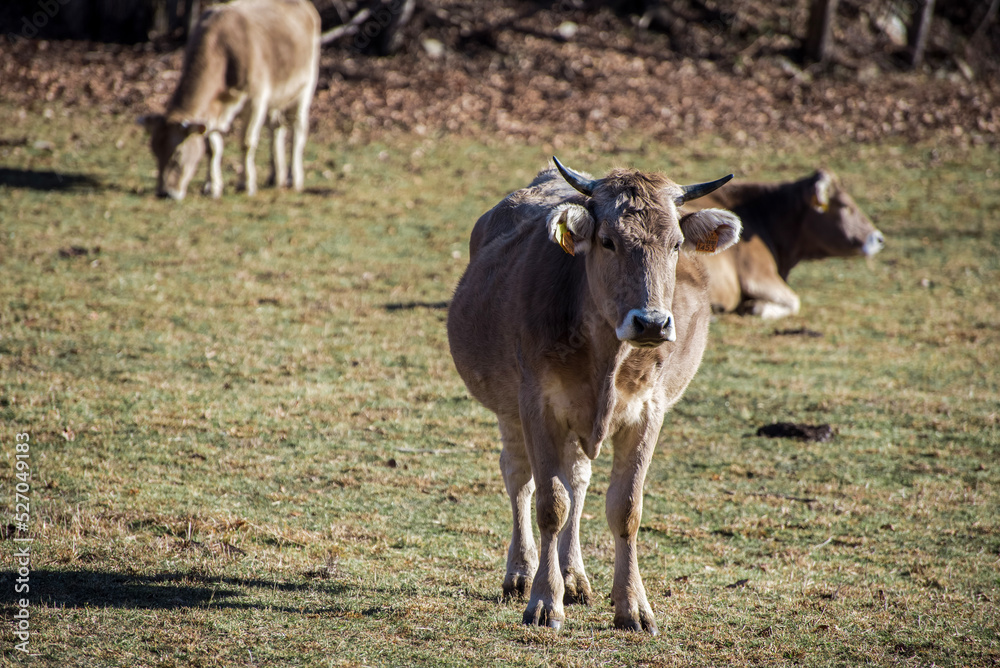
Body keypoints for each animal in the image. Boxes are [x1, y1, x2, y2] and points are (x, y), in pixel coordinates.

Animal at [138, 0, 320, 200]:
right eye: (154, 152)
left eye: (177, 155)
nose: (164, 193)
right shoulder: (212, 112)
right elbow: (212, 147)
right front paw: (212, 186)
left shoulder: (256, 101)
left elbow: (247, 143)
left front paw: (246, 184)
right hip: (277, 98)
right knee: (276, 129)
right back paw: (275, 177)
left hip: (305, 88)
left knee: (297, 130)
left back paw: (293, 178)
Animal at [447, 158, 741, 633]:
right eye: (608, 241)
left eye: (677, 244)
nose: (652, 323)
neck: (606, 356)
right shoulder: (538, 404)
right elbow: (550, 503)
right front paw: (544, 601)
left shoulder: (648, 411)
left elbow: (625, 508)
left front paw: (632, 606)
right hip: (509, 408)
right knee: (519, 476)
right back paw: (520, 574)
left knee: (578, 478)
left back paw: (574, 577)